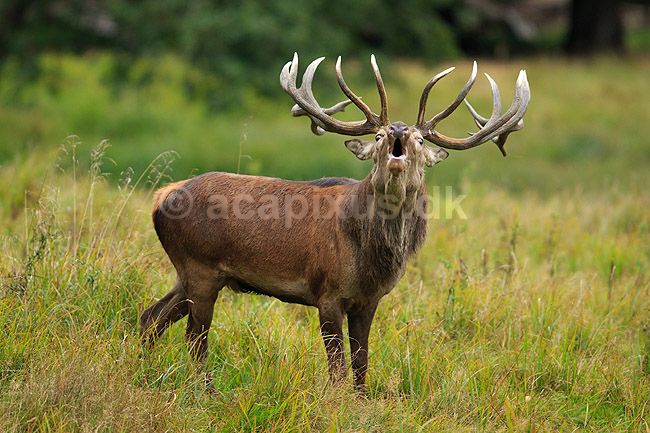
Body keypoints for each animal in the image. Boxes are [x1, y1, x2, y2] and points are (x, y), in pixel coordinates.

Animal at [140, 53, 530, 392]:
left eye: (420, 139)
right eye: (378, 135)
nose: (398, 130)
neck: (369, 259)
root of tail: (161, 197)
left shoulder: (369, 300)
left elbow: (361, 363)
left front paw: (361, 402)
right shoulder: (326, 291)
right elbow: (337, 367)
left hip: (192, 273)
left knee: (151, 317)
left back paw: (144, 371)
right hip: (200, 267)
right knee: (194, 338)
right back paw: (204, 390)